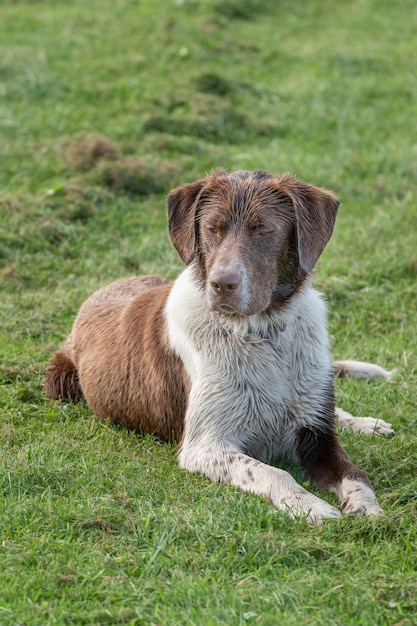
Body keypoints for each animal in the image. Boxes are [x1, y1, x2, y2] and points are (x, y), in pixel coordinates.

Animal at [45, 169, 394, 520]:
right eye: (212, 228)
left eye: (263, 229)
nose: (222, 284)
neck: (263, 333)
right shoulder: (204, 445)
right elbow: (275, 472)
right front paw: (310, 505)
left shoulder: (317, 434)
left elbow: (355, 474)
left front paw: (368, 508)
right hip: (59, 382)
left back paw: (366, 423)